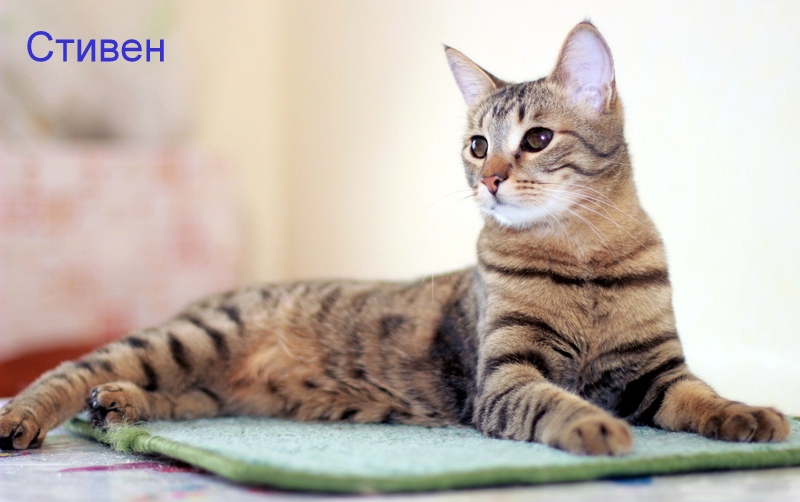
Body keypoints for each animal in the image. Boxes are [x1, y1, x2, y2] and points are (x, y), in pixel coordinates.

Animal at [0, 22, 789, 456]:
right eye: (477, 145)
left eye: (536, 139)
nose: (490, 180)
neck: (582, 257)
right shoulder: (506, 378)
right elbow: (557, 403)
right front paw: (594, 428)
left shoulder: (659, 373)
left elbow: (704, 397)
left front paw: (750, 414)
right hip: (190, 339)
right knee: (68, 369)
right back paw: (30, 416)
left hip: (209, 383)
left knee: (178, 398)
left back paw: (118, 404)